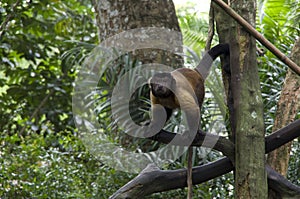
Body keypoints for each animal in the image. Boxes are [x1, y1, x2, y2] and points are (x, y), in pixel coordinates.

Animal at [148, 43, 230, 199]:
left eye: (165, 81)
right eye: (157, 83)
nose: (161, 86)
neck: (167, 95)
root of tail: (194, 71)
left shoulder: (177, 89)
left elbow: (191, 109)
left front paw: (192, 133)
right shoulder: (153, 94)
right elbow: (159, 111)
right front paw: (155, 128)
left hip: (200, 87)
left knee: (194, 106)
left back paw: (195, 132)